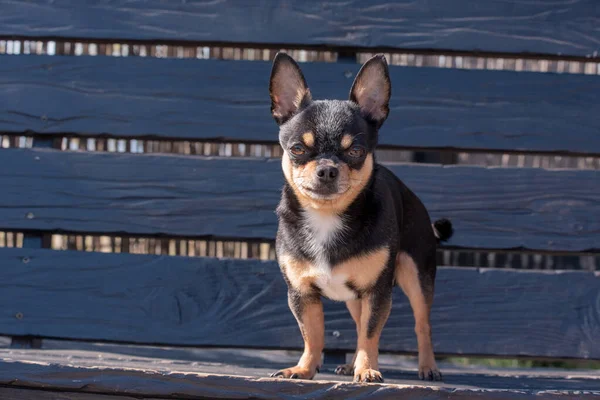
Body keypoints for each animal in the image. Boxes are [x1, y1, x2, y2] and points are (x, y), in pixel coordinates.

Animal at [270, 51, 452, 382]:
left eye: (355, 151)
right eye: (297, 149)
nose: (327, 169)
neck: (327, 217)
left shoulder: (377, 292)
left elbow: (370, 333)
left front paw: (367, 369)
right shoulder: (302, 294)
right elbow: (312, 334)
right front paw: (304, 368)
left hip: (417, 278)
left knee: (422, 325)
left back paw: (428, 366)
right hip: (354, 296)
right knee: (356, 322)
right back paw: (348, 364)